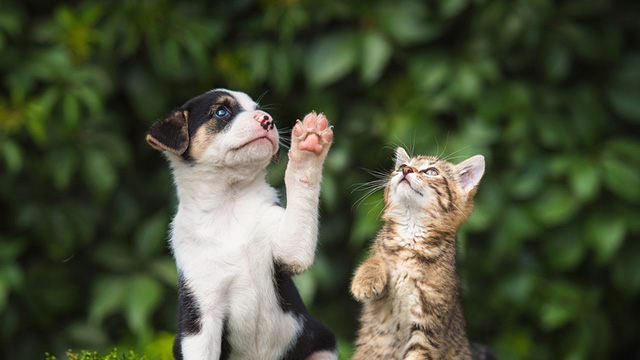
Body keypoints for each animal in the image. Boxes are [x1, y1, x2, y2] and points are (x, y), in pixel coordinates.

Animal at [147, 88, 338, 360]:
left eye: (257, 109)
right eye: (221, 112)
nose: (268, 120)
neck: (230, 202)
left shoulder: (290, 251)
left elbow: (302, 183)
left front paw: (308, 148)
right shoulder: (200, 316)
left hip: (321, 343)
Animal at [350, 147, 496, 360]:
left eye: (431, 172)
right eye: (402, 166)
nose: (405, 170)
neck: (411, 234)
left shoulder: (428, 324)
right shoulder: (378, 302)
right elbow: (376, 259)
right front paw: (366, 281)